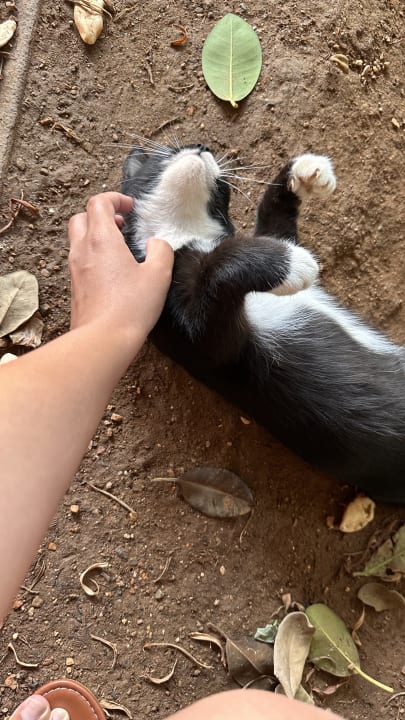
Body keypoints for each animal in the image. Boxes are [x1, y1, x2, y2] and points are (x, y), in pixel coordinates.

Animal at [121, 143, 405, 504]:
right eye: (168, 150)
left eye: (223, 186)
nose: (201, 146)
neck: (183, 236)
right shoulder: (198, 337)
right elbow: (218, 271)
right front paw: (289, 263)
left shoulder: (271, 236)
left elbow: (275, 224)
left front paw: (304, 172)